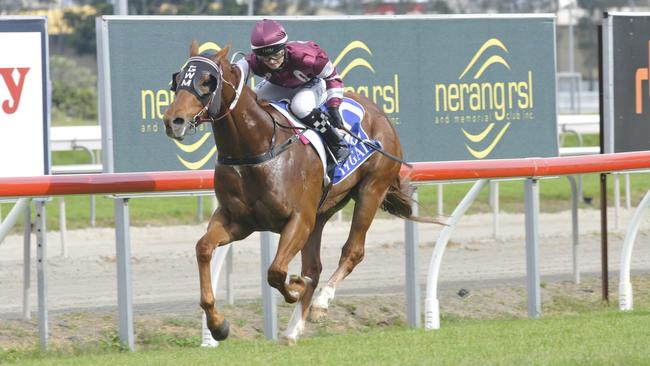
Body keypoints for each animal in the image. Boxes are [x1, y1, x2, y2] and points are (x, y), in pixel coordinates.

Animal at [162, 41, 440, 344]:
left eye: (206, 81)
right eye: (178, 79)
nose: (173, 120)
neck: (257, 147)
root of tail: (380, 113)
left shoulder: (298, 219)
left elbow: (276, 272)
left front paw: (294, 288)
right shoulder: (237, 221)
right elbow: (203, 248)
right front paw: (217, 325)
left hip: (371, 189)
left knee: (352, 251)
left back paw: (320, 303)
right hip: (322, 211)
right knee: (314, 267)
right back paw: (292, 329)